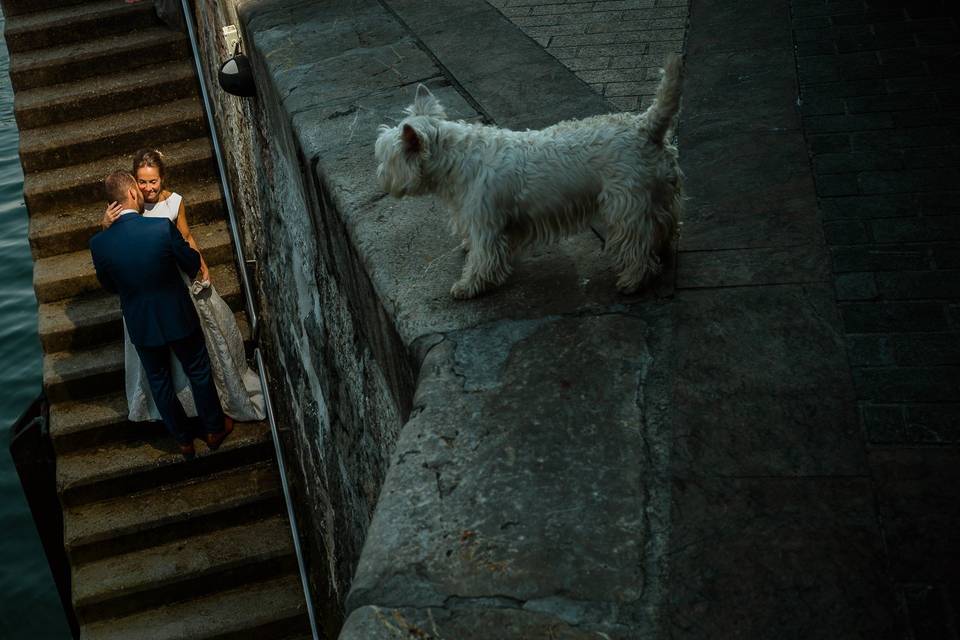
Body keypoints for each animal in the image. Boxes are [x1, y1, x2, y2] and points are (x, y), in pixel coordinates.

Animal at [376, 55, 684, 300]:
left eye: (386, 158)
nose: (380, 179)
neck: (456, 161)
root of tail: (645, 127)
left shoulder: (486, 222)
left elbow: (482, 257)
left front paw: (468, 286)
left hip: (625, 203)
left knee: (637, 244)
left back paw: (632, 281)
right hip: (657, 193)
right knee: (663, 225)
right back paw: (662, 251)